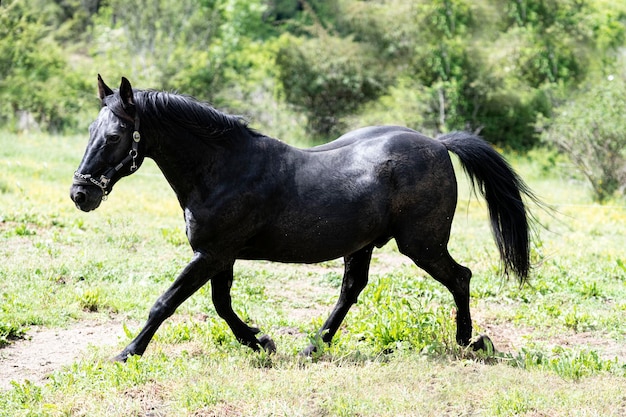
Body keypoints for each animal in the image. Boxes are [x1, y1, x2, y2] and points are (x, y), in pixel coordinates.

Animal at [70, 75, 532, 360]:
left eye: (114, 136)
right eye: (91, 131)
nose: (80, 194)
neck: (223, 169)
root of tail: (438, 144)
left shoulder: (211, 253)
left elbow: (165, 303)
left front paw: (126, 354)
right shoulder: (220, 256)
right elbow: (222, 305)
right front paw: (260, 341)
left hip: (422, 244)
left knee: (460, 277)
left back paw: (470, 342)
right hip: (364, 245)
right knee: (351, 290)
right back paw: (313, 347)